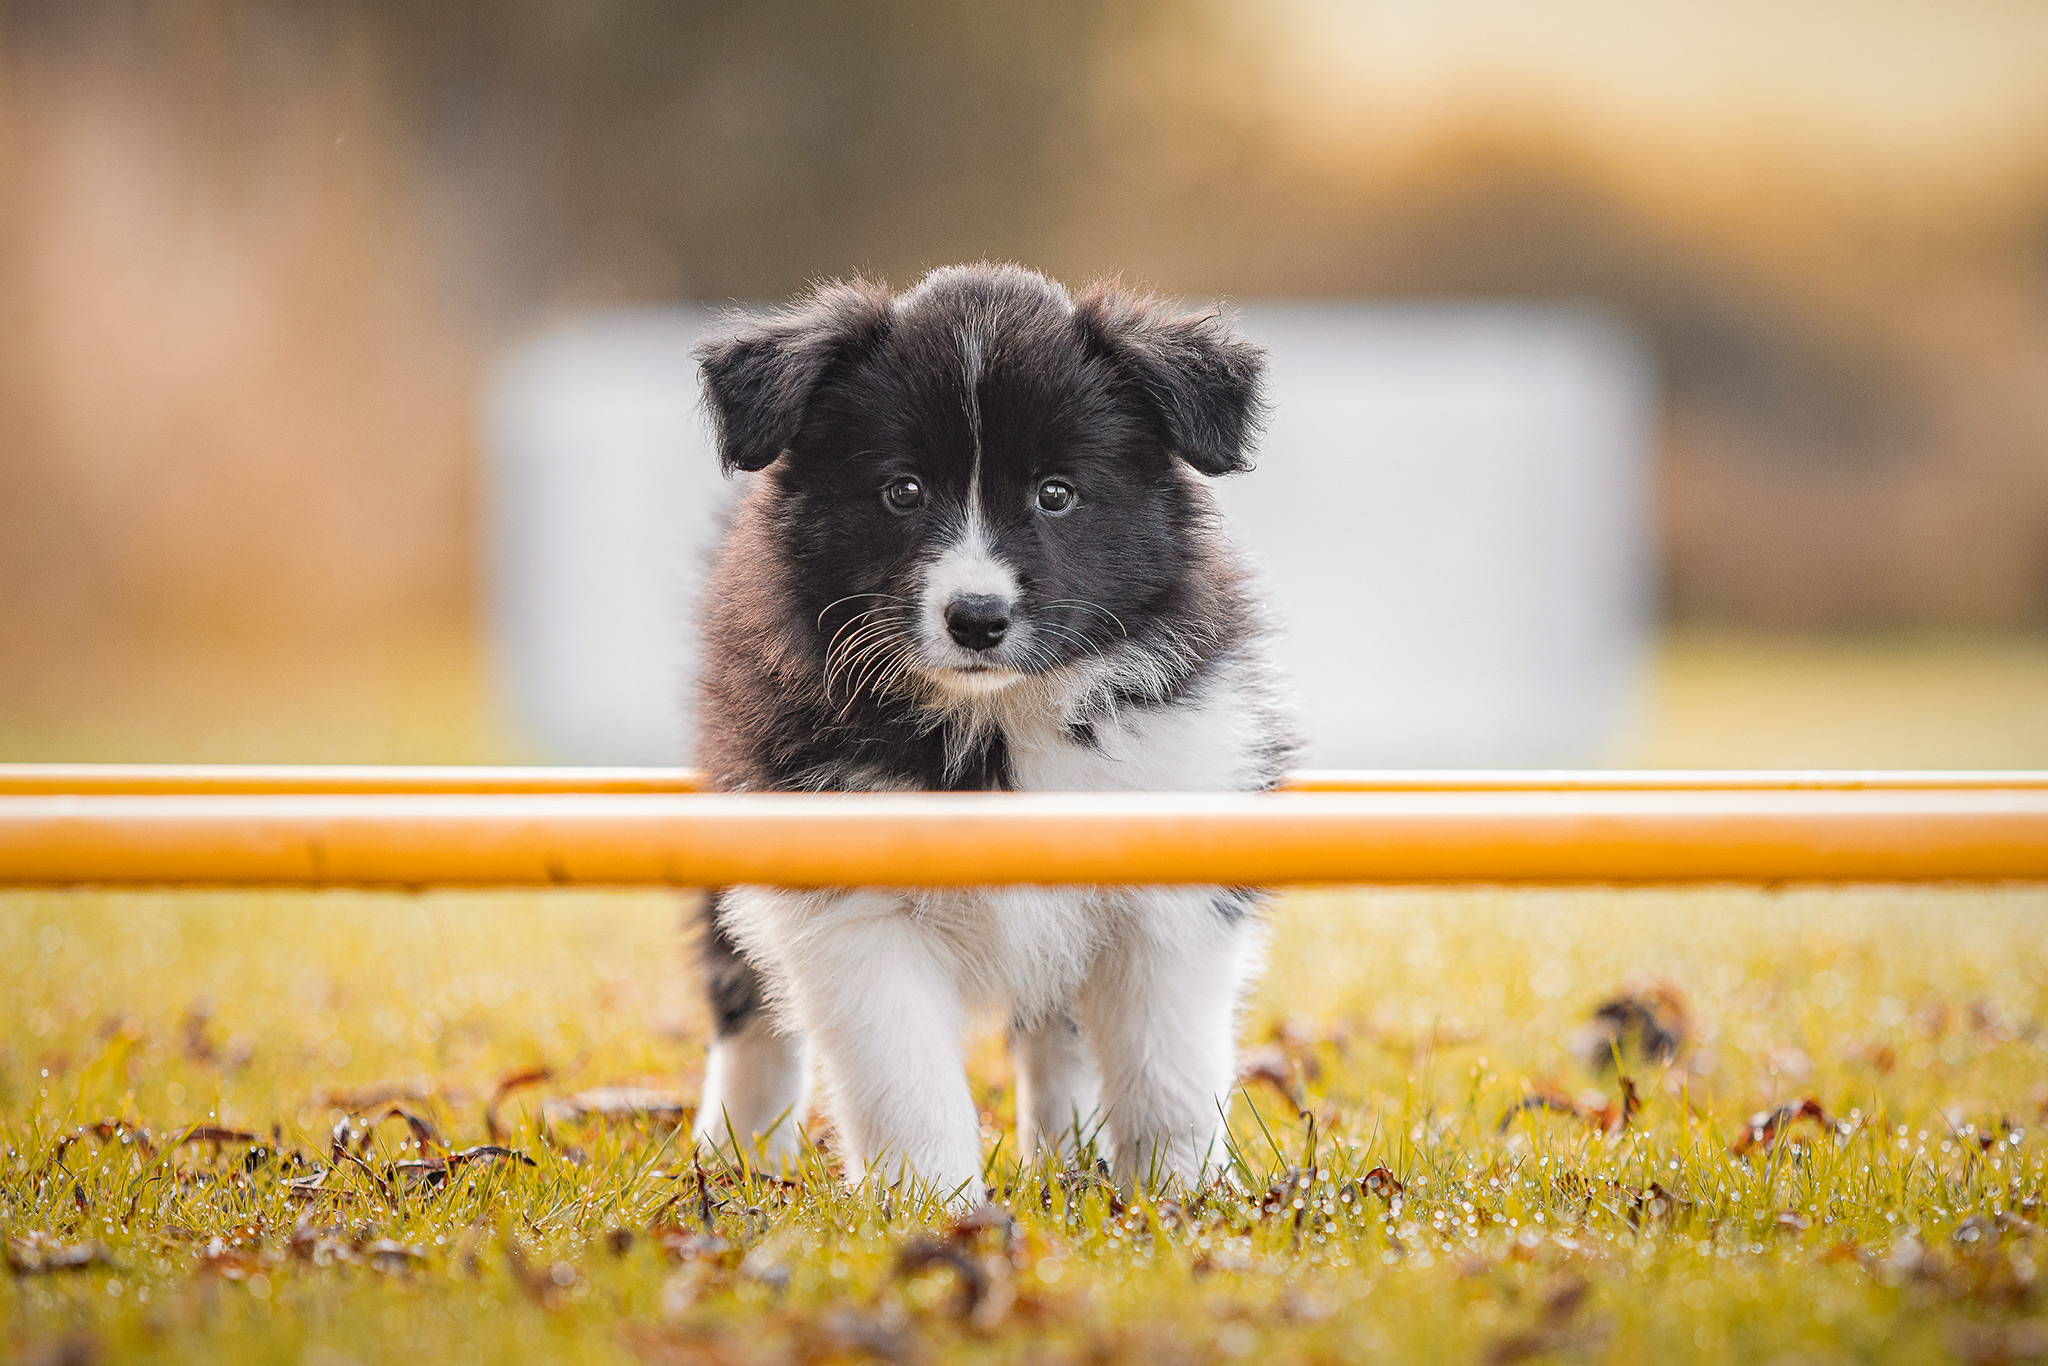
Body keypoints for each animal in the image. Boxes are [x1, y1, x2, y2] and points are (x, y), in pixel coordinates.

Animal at [688, 262, 1294, 1204]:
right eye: (902, 490)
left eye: (1057, 494)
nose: (977, 618)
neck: (1001, 717)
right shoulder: (851, 904)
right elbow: (905, 1083)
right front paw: (933, 1209)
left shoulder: (1168, 883)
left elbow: (1168, 1069)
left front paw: (1178, 1198)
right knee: (743, 1001)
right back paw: (733, 1158)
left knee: (1055, 1034)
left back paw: (1066, 1157)